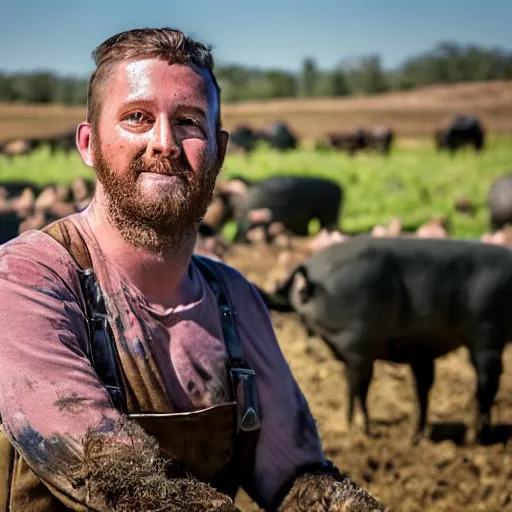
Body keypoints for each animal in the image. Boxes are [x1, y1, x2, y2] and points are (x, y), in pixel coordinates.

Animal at [258, 236, 512, 444]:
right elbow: (352, 385)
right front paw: (349, 426)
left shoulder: (360, 345)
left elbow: (359, 386)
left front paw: (362, 430)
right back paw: (425, 436)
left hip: (487, 334)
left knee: (486, 382)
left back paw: (472, 438)